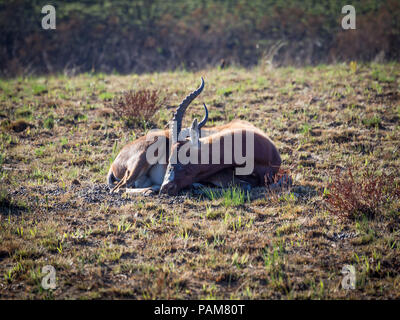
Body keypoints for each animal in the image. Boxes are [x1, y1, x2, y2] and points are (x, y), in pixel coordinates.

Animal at [106, 77, 282, 195]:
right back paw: (152, 190)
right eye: (169, 157)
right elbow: (244, 185)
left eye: (184, 155)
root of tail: (115, 162)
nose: (166, 187)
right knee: (120, 188)